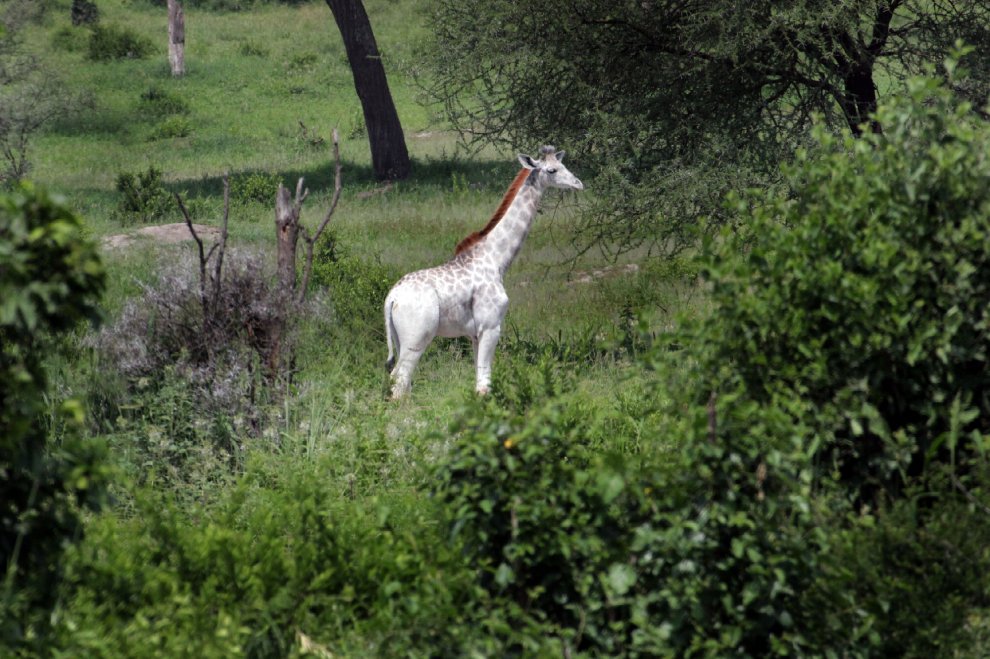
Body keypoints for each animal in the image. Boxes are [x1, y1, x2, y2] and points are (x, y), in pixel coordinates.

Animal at [383, 146, 584, 399]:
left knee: (401, 382)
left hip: (399, 339)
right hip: (417, 336)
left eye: (562, 164)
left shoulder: (474, 333)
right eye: (552, 170)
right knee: (400, 378)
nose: (578, 183)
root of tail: (392, 298)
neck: (496, 260)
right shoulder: (491, 326)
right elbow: (485, 384)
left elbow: (479, 379)